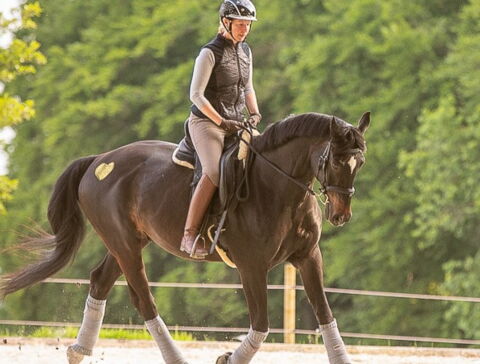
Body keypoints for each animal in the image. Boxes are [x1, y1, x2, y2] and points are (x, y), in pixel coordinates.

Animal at [0, 111, 372, 364]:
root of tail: (100, 161)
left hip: (128, 242)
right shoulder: (252, 266)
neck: (278, 187)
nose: (341, 215)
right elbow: (262, 325)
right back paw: (174, 357)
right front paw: (228, 358)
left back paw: (79, 350)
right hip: (125, 245)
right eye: (336, 160)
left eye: (360, 162)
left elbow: (325, 314)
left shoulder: (308, 257)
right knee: (143, 300)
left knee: (100, 280)